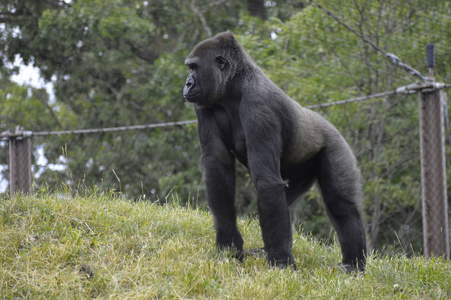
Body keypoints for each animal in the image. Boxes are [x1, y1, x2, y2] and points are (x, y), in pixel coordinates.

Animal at [183, 31, 368, 272]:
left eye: (194, 68)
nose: (187, 83)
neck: (235, 85)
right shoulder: (205, 103)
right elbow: (217, 166)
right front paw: (229, 244)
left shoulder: (259, 107)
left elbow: (265, 181)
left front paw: (281, 262)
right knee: (283, 199)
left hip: (336, 145)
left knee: (342, 206)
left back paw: (353, 265)